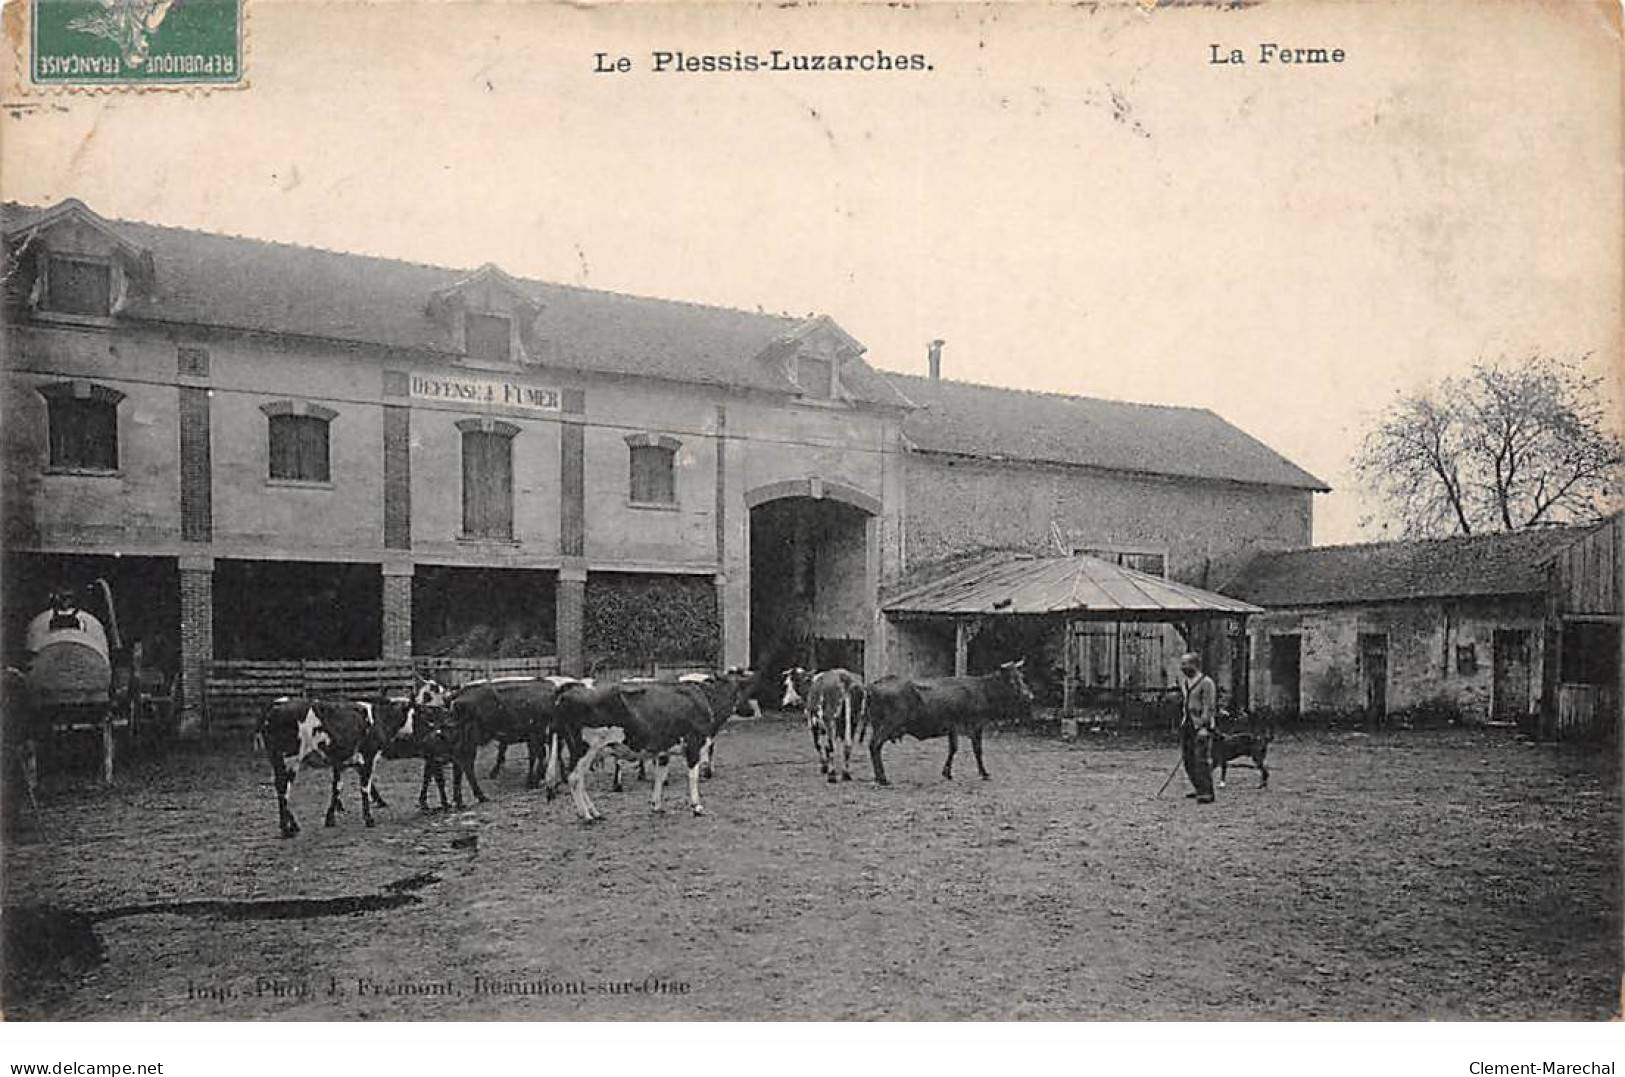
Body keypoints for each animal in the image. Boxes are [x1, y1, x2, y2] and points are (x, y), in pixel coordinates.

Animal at [864, 662, 1027, 789]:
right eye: (1012, 680)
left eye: (1021, 677)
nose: (1028, 695)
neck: (982, 690)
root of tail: (875, 683)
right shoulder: (976, 726)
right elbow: (977, 750)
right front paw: (984, 773)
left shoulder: (952, 728)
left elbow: (953, 749)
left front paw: (947, 773)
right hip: (887, 726)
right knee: (875, 746)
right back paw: (882, 779)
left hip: (878, 726)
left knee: (874, 747)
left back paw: (879, 778)